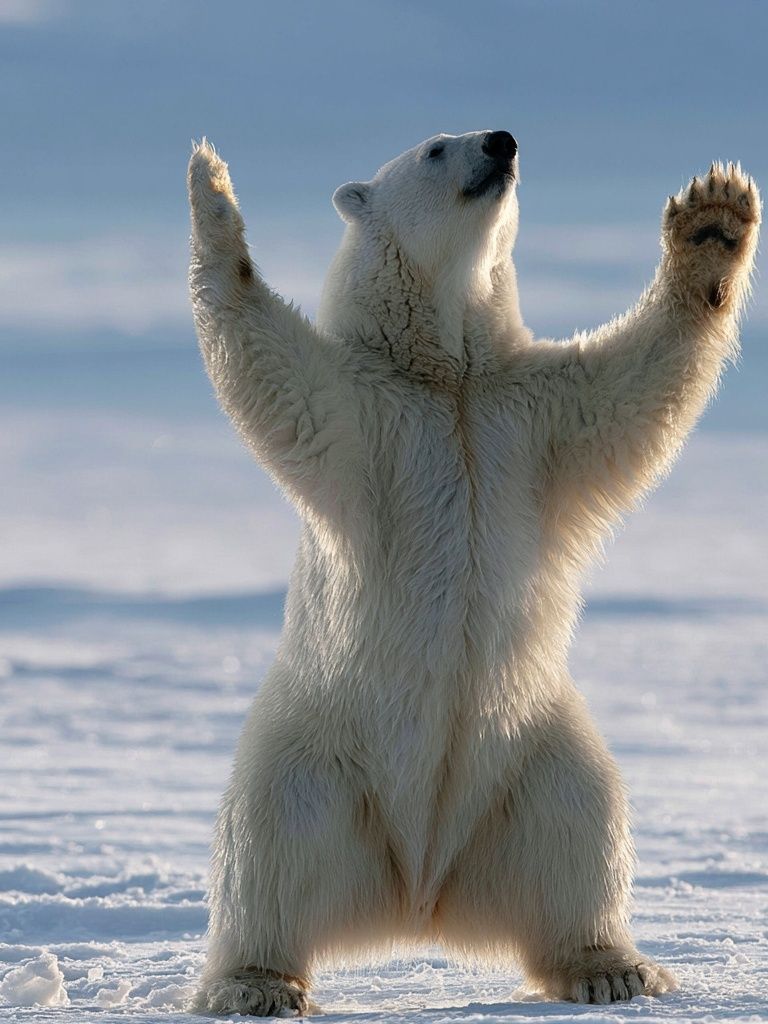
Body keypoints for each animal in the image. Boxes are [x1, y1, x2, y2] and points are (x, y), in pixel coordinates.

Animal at [186, 130, 760, 1016]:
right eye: (434, 148)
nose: (502, 141)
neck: (448, 378)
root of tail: (420, 892)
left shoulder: (527, 419)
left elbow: (634, 385)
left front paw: (715, 221)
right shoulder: (371, 416)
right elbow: (268, 363)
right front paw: (212, 193)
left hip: (533, 755)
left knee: (580, 829)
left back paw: (610, 967)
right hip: (316, 747)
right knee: (273, 846)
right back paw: (255, 983)